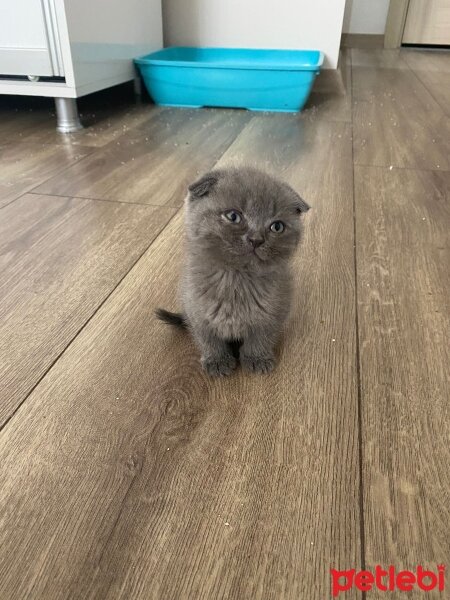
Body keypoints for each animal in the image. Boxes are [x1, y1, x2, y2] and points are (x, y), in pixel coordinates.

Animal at [156, 166, 310, 378]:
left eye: (277, 226)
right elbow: (209, 340)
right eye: (233, 216)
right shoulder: (197, 312)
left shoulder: (275, 312)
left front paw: (257, 358)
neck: (236, 280)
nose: (256, 239)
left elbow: (260, 338)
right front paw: (217, 361)